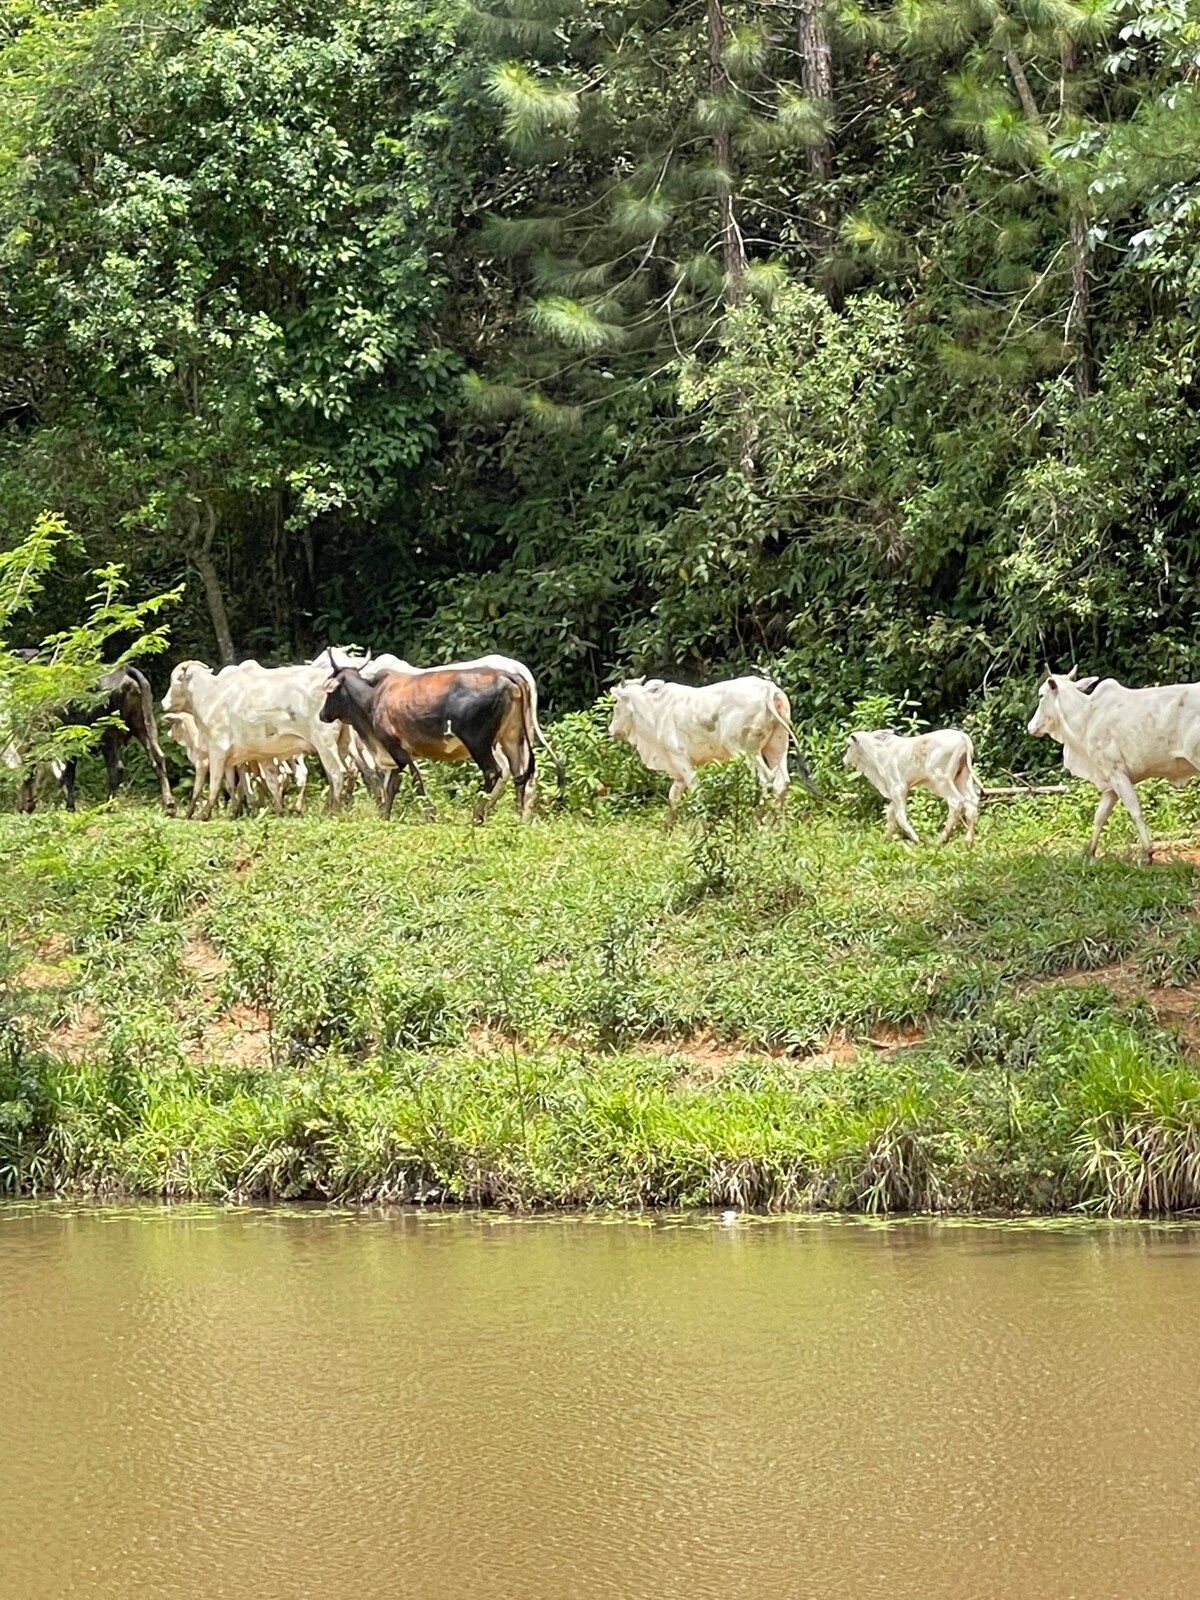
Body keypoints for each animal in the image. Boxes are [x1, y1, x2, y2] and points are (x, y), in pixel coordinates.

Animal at [1, 656, 176, 812]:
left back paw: (107, 807)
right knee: (158, 758)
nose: (23, 807)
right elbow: (66, 775)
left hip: (108, 734)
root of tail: (125, 671)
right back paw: (169, 805)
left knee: (116, 769)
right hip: (144, 725)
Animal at [162, 656, 347, 819]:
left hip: (324, 743)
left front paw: (202, 814)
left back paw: (335, 810)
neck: (210, 697)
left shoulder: (216, 750)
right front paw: (278, 811)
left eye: (174, 679)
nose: (164, 702)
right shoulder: (259, 755)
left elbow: (212, 783)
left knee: (337, 773)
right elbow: (269, 782)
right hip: (343, 741)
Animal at [604, 675, 825, 825]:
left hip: (746, 751)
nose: (611, 729)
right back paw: (776, 825)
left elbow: (696, 790)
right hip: (777, 747)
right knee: (782, 782)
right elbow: (673, 797)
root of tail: (769, 690)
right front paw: (667, 829)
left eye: (616, 702)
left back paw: (759, 822)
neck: (654, 712)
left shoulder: (681, 760)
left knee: (765, 780)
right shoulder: (677, 771)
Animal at [1030, 662, 1200, 864]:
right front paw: (1090, 852)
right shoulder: (1109, 782)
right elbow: (1100, 816)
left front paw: (1148, 853)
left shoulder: (1117, 773)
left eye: (1041, 695)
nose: (1031, 726)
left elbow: (1135, 811)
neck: (1086, 717)